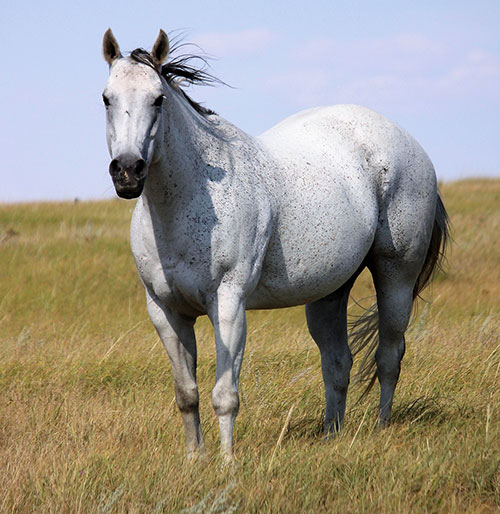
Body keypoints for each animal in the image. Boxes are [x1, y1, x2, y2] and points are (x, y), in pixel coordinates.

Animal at [101, 30, 450, 458]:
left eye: (158, 99)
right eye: (106, 98)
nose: (127, 171)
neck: (187, 200)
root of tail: (412, 146)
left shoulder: (229, 305)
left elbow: (225, 395)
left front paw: (227, 462)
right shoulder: (165, 312)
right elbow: (187, 394)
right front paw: (194, 459)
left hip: (395, 276)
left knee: (389, 355)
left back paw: (382, 428)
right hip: (329, 293)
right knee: (338, 362)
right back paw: (330, 435)